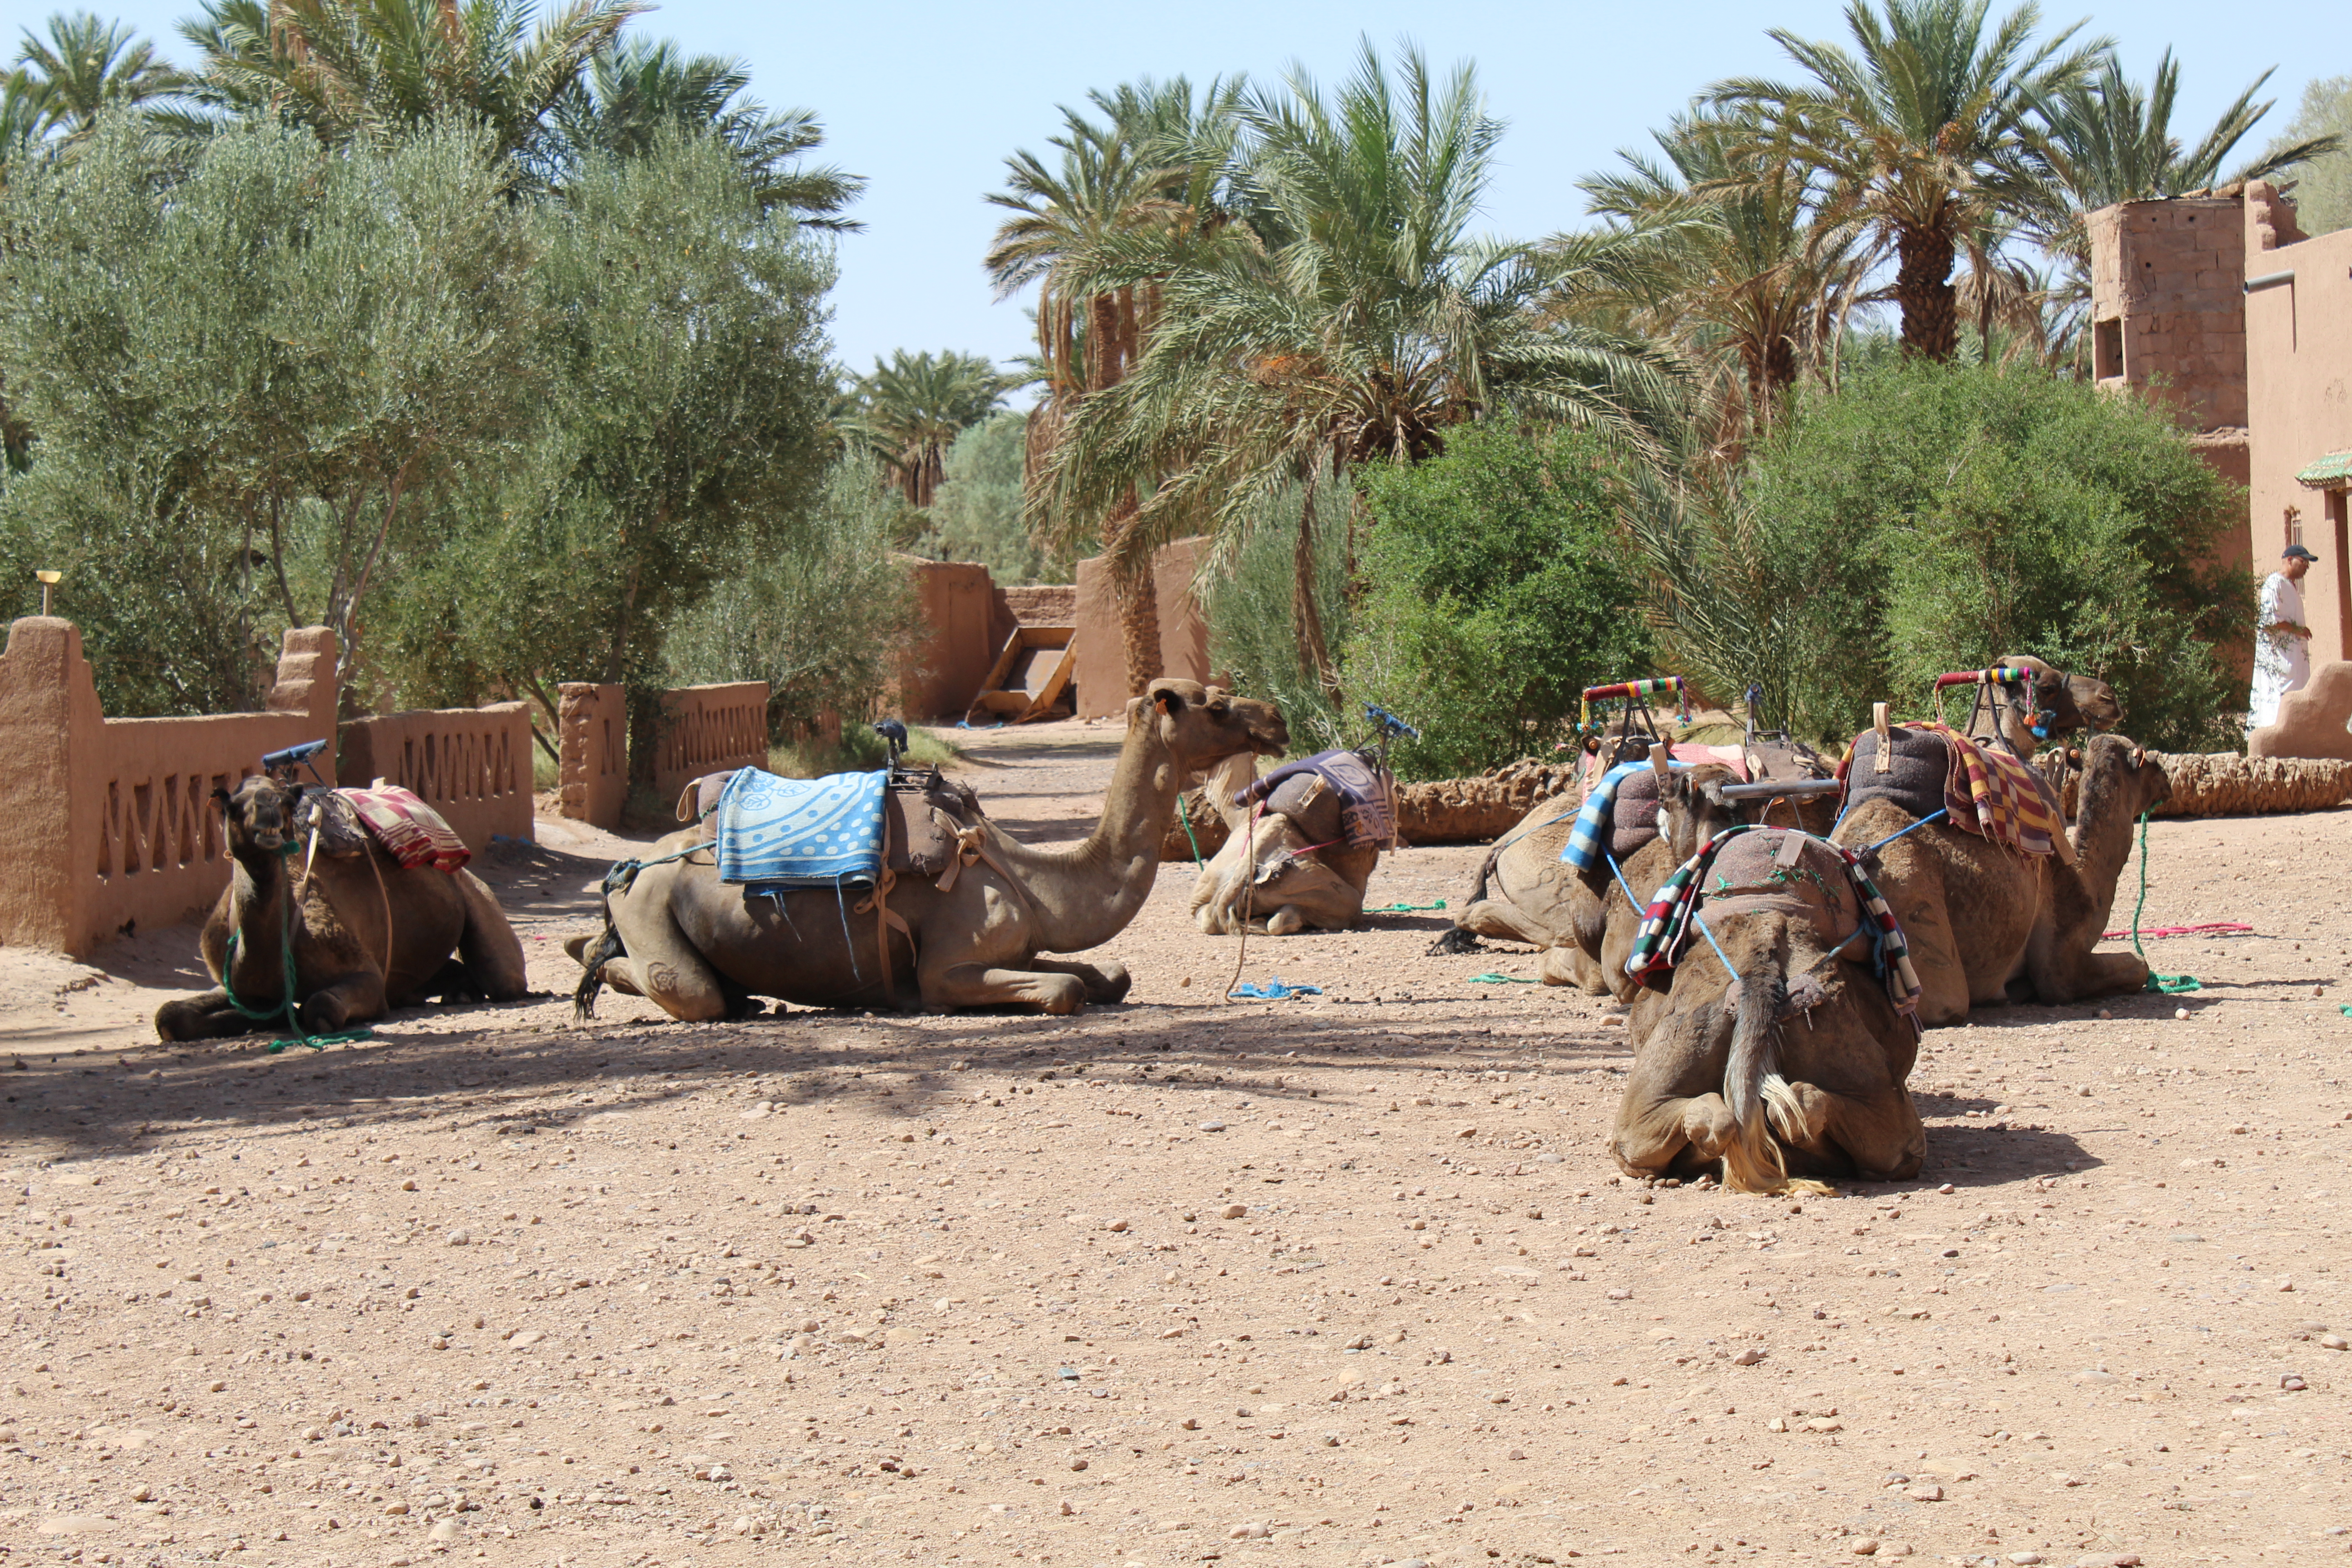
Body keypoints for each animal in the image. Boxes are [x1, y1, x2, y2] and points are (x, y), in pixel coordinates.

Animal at [155, 775, 532, 1042]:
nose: (268, 812)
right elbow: (169, 1016)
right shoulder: (236, 986)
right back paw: (451, 993)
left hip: (477, 898)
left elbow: (321, 1006)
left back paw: (464, 994)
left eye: (286, 803)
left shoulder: (366, 975)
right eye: (232, 806)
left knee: (503, 979)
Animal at [573, 679, 1288, 1018]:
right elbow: (1064, 989)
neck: (1035, 880)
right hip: (651, 911)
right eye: (1216, 706)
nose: (1277, 719)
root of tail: (624, 871)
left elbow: (1109, 976)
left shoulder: (1021, 945)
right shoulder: (949, 965)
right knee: (684, 989)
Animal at [1831, 732, 2169, 1027]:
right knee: (1944, 1000)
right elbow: (2139, 966)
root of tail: (1851, 855)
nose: (2167, 781)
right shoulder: (2059, 964)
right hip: (1912, 900)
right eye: (2150, 760)